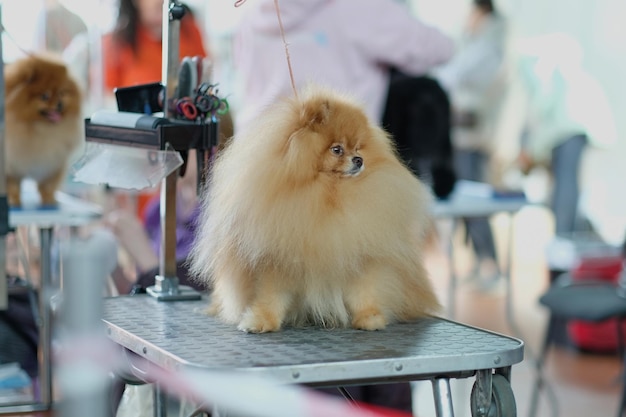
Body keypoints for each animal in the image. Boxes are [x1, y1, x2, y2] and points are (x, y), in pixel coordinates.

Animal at [4, 53, 84, 206]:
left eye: (61, 93)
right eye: (45, 96)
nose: (60, 104)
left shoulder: (52, 163)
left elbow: (47, 186)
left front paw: (49, 201)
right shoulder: (11, 164)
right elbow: (12, 185)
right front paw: (14, 201)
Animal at [190, 87, 438, 332]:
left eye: (358, 148)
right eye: (337, 149)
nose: (359, 160)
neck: (327, 195)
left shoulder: (361, 257)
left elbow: (364, 292)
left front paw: (370, 318)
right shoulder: (276, 261)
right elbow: (271, 296)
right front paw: (261, 320)